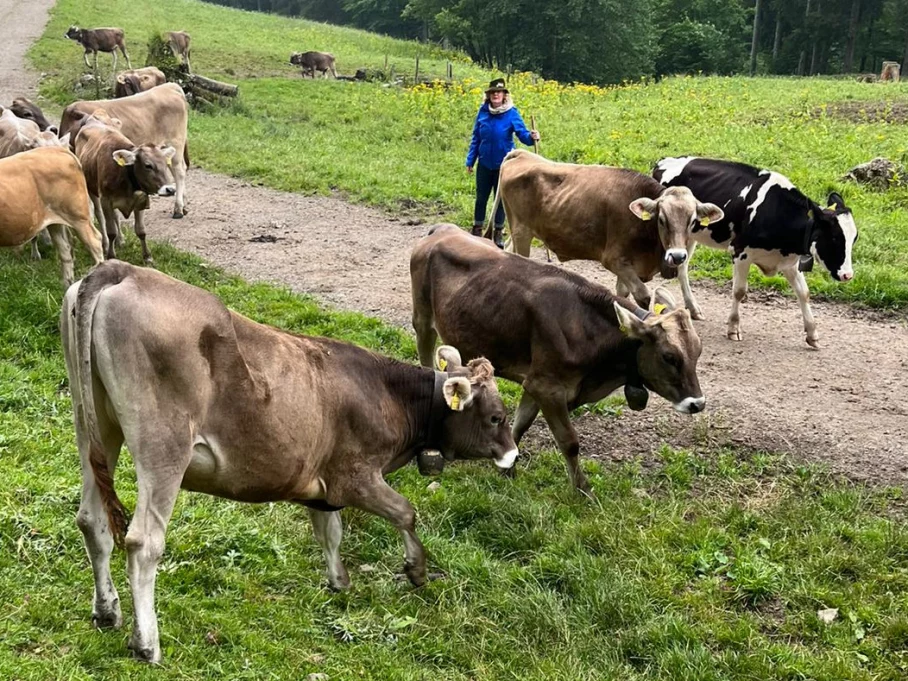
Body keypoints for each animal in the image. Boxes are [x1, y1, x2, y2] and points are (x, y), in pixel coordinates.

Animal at [61, 260, 517, 663]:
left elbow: (329, 532)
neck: (389, 395)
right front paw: (416, 569)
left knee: (91, 520)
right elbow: (406, 512)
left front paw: (339, 581)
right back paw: (147, 644)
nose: (513, 455)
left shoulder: (323, 484)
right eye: (497, 417)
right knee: (142, 542)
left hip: (94, 427)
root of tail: (121, 269)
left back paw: (107, 611)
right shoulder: (356, 475)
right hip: (163, 445)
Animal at [74, 110, 176, 263]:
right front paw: (111, 255)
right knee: (100, 215)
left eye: (166, 163)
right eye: (148, 165)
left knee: (116, 216)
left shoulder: (141, 200)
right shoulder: (106, 200)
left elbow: (141, 230)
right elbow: (111, 231)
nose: (170, 189)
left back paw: (120, 240)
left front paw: (147, 257)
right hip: (92, 189)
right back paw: (105, 244)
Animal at [411, 224, 705, 494]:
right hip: (423, 320)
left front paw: (507, 470)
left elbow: (520, 425)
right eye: (669, 357)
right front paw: (582, 490)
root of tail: (443, 228)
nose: (697, 403)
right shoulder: (548, 387)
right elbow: (569, 441)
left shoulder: (535, 382)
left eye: (698, 351)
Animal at [491, 150, 724, 309]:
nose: (677, 256)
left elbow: (622, 294)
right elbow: (643, 295)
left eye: (692, 221)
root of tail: (523, 154)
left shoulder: (628, 265)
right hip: (522, 232)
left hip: (518, 232)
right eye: (662, 219)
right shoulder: (614, 260)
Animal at [653, 157, 858, 347]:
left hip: (689, 237)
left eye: (854, 238)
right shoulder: (740, 253)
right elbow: (739, 291)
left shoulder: (789, 262)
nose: (847, 275)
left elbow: (804, 293)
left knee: (682, 268)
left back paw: (693, 309)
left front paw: (812, 334)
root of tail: (664, 161)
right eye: (834, 238)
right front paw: (733, 328)